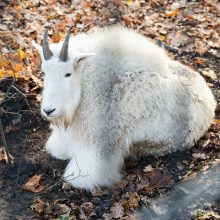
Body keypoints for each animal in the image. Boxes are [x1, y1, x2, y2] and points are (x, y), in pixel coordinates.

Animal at [32, 26, 217, 189]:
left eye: (68, 73)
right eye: (44, 72)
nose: (48, 110)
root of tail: (211, 100)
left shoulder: (100, 148)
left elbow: (77, 177)